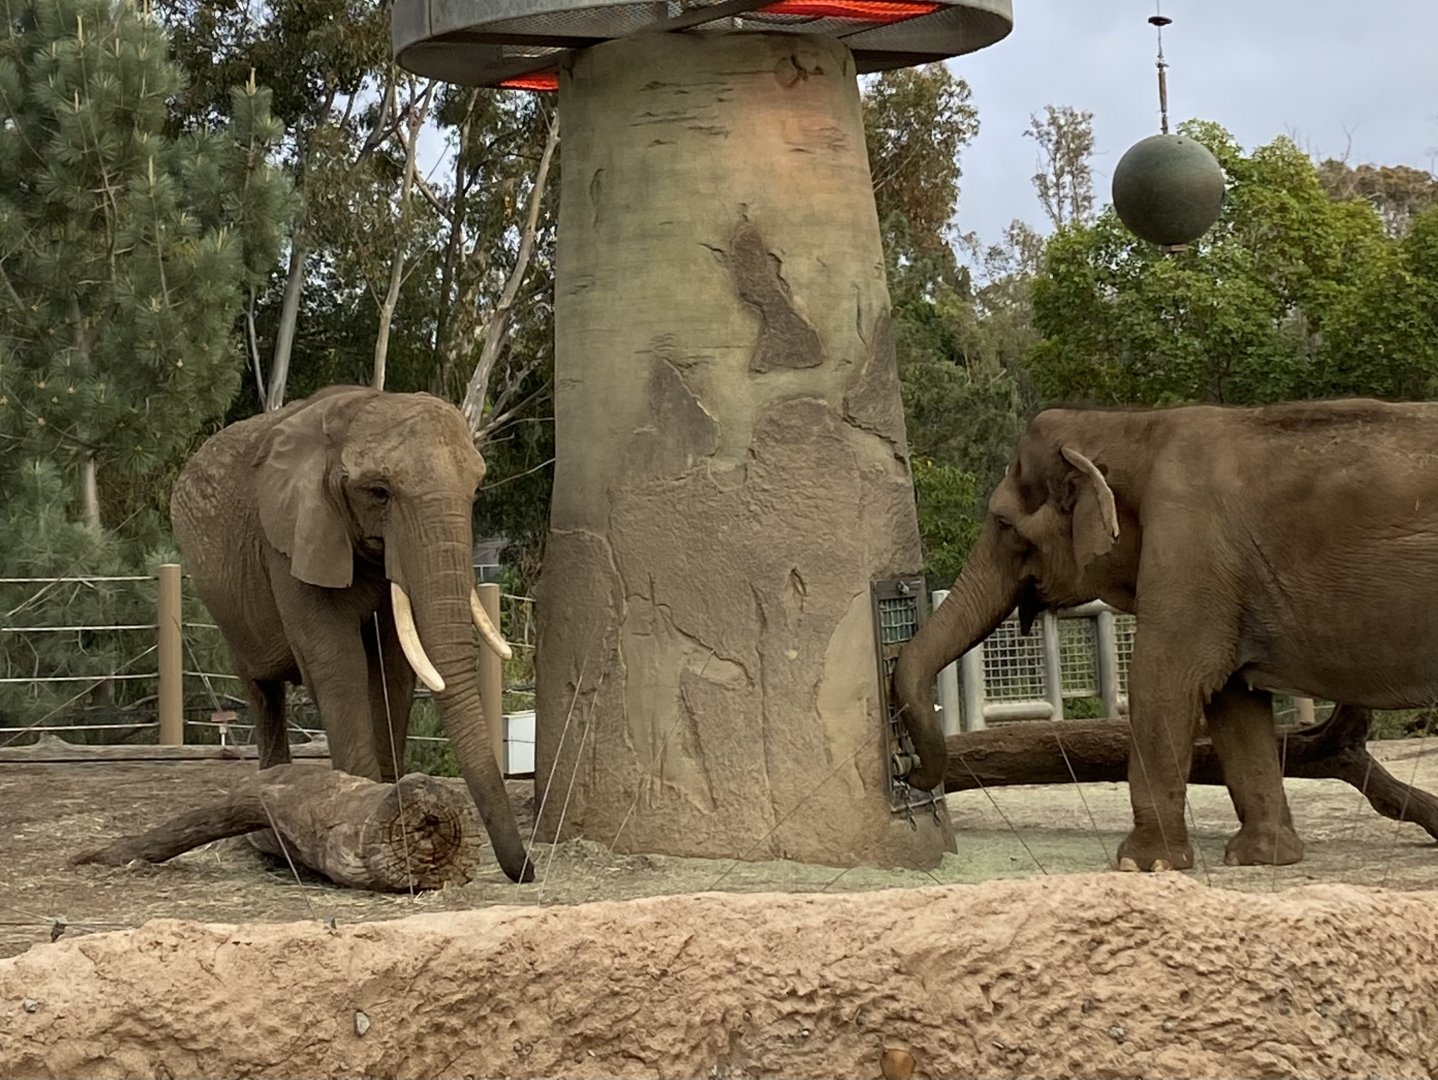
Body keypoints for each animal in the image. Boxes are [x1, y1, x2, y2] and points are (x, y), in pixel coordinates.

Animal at [171, 385, 533, 882]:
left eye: (476, 490)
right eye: (379, 493)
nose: (527, 869)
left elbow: (394, 666)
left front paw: (388, 794)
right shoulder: (294, 537)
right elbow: (338, 661)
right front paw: (359, 812)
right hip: (227, 605)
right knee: (262, 690)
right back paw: (271, 813)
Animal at [893, 398, 1438, 873]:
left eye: (1005, 525)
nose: (906, 770)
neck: (1131, 427)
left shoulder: (1187, 546)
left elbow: (1162, 683)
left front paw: (1142, 864)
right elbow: (1232, 700)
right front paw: (1262, 857)